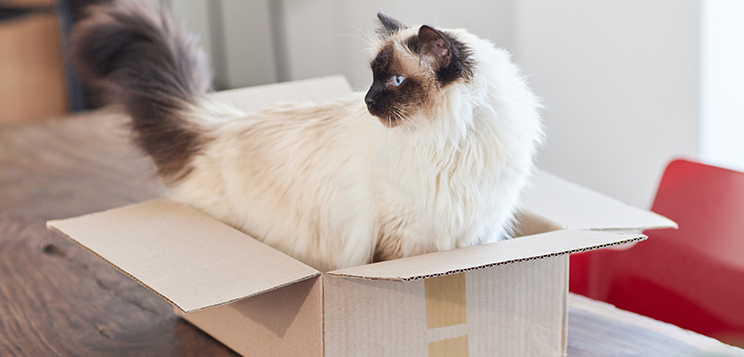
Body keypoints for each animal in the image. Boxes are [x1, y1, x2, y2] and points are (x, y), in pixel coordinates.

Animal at [72, 1, 544, 272]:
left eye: (393, 81)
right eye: (371, 78)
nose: (367, 101)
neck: (447, 143)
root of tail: (217, 123)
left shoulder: (477, 236)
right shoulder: (403, 243)